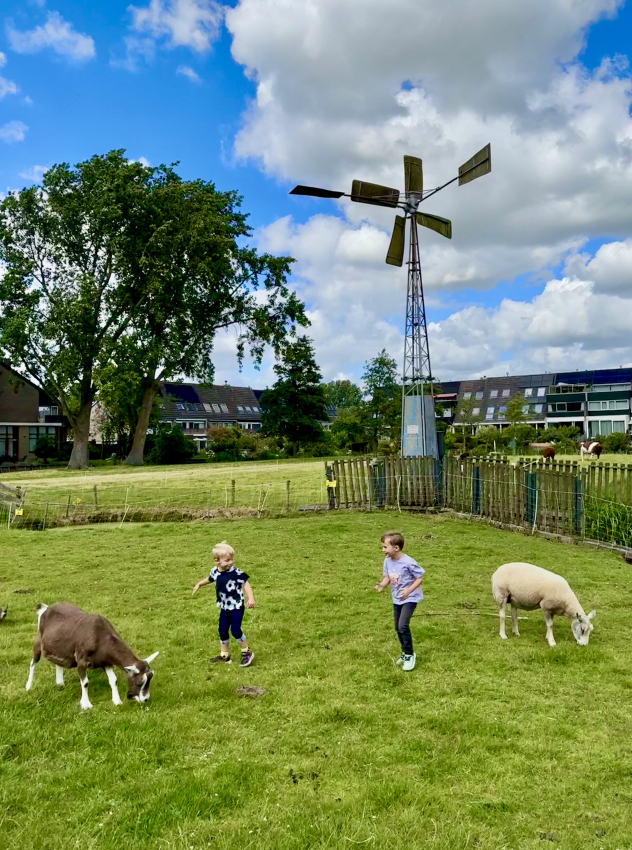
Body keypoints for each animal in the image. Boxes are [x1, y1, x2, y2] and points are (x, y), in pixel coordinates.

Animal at [27, 604, 159, 708]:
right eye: (139, 681)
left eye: (150, 678)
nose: (145, 699)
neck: (100, 638)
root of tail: (45, 608)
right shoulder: (81, 661)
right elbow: (85, 682)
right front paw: (86, 705)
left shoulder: (106, 662)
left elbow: (113, 680)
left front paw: (117, 701)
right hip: (38, 642)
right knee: (33, 663)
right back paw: (28, 686)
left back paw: (60, 684)